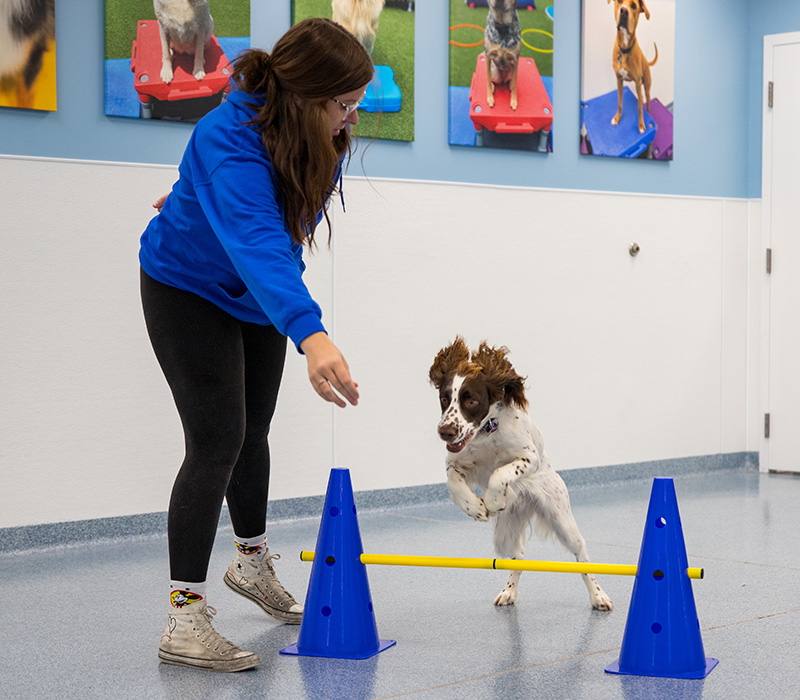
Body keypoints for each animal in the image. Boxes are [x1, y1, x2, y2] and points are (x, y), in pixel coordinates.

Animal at [432, 336, 612, 608]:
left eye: (471, 401)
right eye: (444, 398)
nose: (445, 432)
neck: (487, 432)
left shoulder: (530, 458)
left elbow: (500, 473)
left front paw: (493, 500)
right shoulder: (454, 461)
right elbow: (453, 482)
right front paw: (475, 507)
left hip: (561, 519)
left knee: (582, 554)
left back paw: (598, 595)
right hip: (503, 535)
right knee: (518, 555)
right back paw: (509, 591)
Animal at [608, 0, 660, 133]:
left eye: (633, 6)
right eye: (619, 1)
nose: (624, 11)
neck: (625, 49)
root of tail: (646, 61)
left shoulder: (637, 82)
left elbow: (639, 108)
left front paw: (641, 125)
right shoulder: (619, 80)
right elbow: (620, 102)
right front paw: (617, 118)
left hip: (646, 87)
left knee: (645, 101)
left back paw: (648, 111)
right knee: (640, 99)